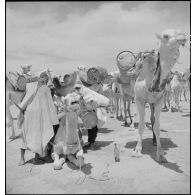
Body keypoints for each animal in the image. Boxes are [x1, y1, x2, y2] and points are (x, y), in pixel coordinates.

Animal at [133, 29, 187, 163]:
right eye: (166, 35)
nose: (183, 36)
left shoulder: (159, 101)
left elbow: (157, 126)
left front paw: (160, 154)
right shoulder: (139, 100)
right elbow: (141, 125)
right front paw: (137, 150)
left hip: (152, 102)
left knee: (152, 120)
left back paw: (153, 140)